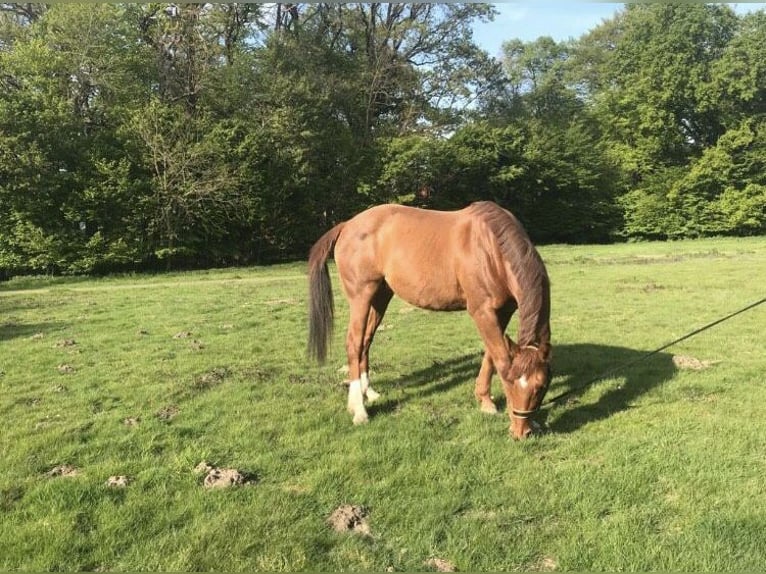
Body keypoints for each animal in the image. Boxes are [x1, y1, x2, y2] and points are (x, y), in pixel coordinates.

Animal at [308, 200, 556, 438]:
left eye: (542, 386)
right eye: (510, 383)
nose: (522, 432)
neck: (491, 249)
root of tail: (347, 225)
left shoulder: (503, 312)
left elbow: (491, 356)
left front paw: (484, 400)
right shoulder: (482, 312)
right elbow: (500, 359)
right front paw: (488, 404)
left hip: (380, 296)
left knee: (365, 341)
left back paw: (368, 392)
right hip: (361, 295)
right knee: (354, 343)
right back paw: (359, 410)